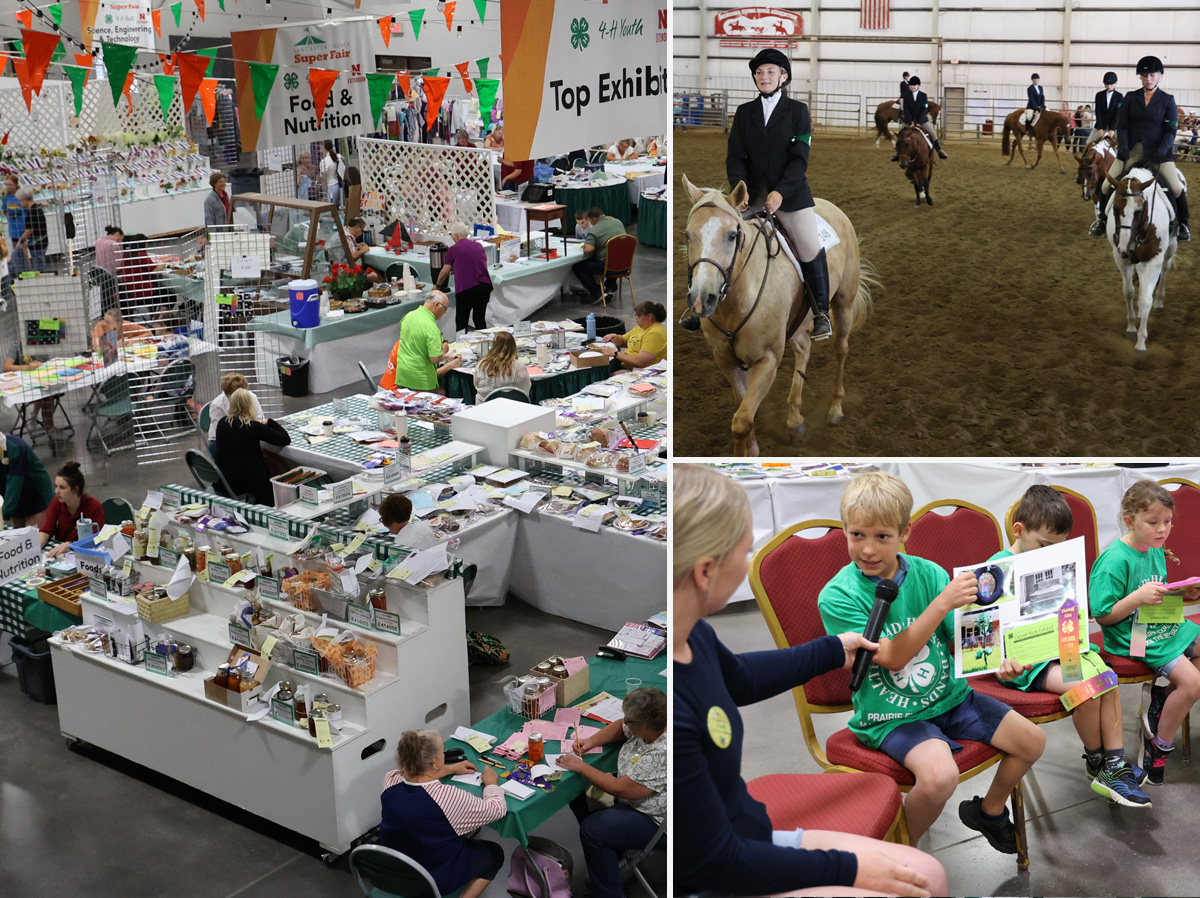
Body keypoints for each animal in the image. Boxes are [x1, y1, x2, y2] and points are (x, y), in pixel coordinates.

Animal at [686, 175, 873, 456]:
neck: (739, 299)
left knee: (841, 350)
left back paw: (835, 408)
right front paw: (752, 451)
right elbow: (742, 410)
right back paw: (795, 419)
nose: (701, 299)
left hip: (843, 303)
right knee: (804, 348)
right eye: (688, 236)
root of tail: (829, 205)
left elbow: (741, 421)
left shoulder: (767, 361)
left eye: (732, 236)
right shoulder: (726, 361)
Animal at [1104, 166, 1180, 352]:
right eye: (1115, 210)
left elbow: (1146, 299)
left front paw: (1141, 342)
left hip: (1170, 248)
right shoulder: (1121, 259)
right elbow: (1129, 292)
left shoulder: (1153, 261)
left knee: (1165, 269)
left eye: (1139, 211)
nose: (1124, 247)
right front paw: (1131, 326)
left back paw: (1159, 301)